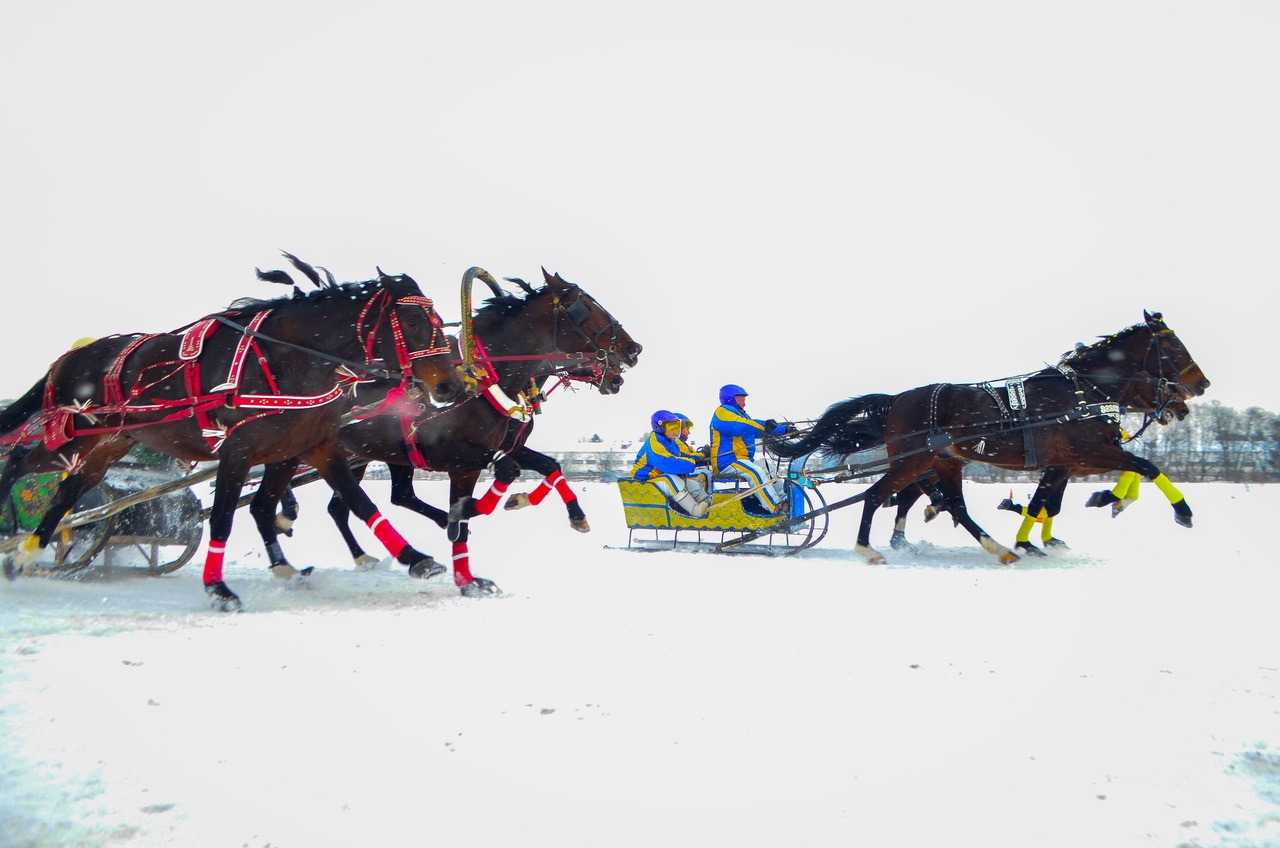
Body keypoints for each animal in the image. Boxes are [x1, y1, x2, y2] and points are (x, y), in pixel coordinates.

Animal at [0, 269, 465, 607]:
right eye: (412, 320)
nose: (451, 386)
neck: (286, 360)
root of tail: (69, 357)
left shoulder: (314, 446)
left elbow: (360, 503)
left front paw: (416, 559)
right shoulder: (237, 449)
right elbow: (223, 516)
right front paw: (218, 588)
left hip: (111, 441)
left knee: (73, 486)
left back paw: (28, 551)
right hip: (74, 432)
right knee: (22, 462)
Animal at [768, 312, 1208, 563]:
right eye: (1173, 345)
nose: (1198, 387)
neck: (1082, 393)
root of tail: (897, 399)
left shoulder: (1070, 461)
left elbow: (1048, 502)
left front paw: (1050, 531)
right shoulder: (1088, 453)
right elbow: (1146, 466)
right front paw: (1180, 510)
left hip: (943, 460)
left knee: (951, 505)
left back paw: (995, 547)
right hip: (914, 460)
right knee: (879, 494)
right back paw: (867, 548)